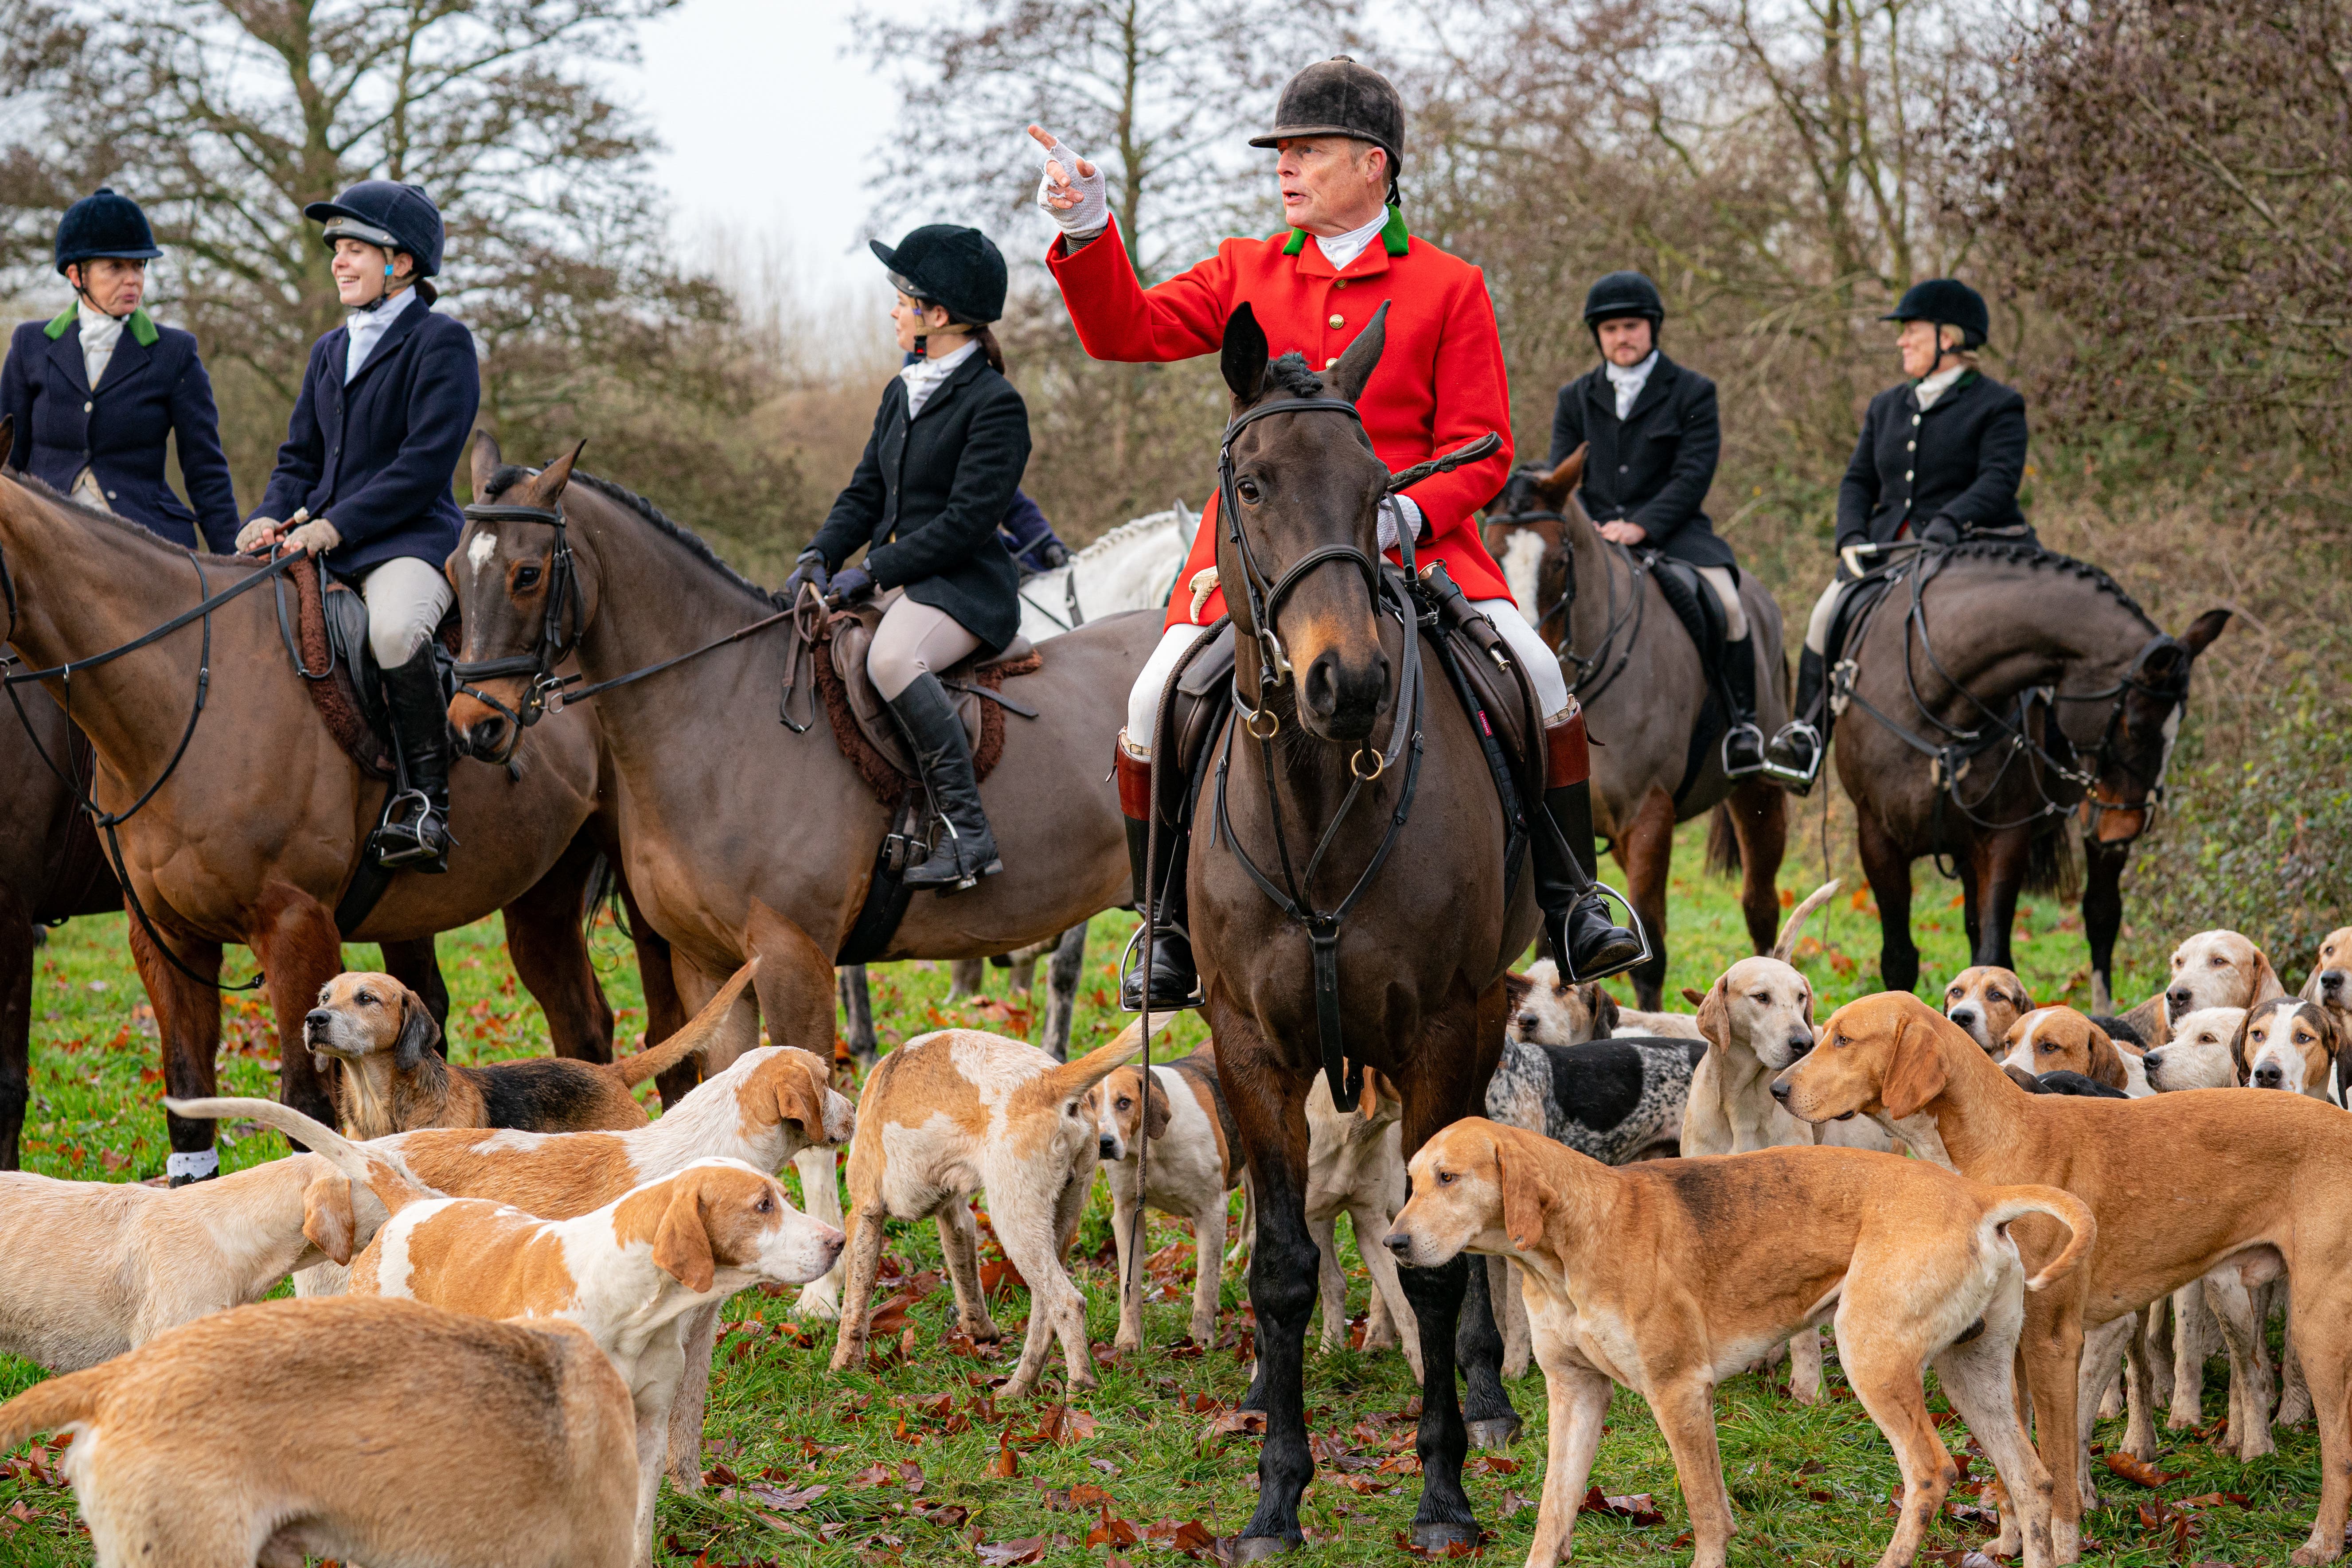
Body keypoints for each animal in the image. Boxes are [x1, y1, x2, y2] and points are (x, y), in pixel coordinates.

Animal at [0, 460, 644, 1161]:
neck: (188, 693)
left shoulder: (296, 926)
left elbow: (307, 1111)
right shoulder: (167, 937)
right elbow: (190, 1109)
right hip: (539, 896)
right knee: (580, 1028)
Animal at [1185, 305, 1533, 1561]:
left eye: (1380, 486)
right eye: (1250, 483)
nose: (1347, 679)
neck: (1319, 785)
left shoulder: (1439, 1031)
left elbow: (1430, 1264)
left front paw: (1442, 1491)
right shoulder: (1250, 1046)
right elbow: (1285, 1267)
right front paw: (1276, 1496)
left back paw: (1483, 1395)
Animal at [1477, 446, 1787, 1010]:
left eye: (1560, 563)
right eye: (1493, 558)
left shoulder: (1649, 818)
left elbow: (1653, 956)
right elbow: (1549, 952)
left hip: (1758, 792)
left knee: (1760, 905)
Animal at [1834, 545, 2220, 1001]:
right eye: (2138, 726)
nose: (2127, 825)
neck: (1933, 702)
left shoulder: (2004, 840)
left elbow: (1995, 955)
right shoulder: (1877, 839)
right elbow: (1899, 959)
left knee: (2101, 915)